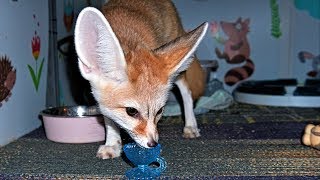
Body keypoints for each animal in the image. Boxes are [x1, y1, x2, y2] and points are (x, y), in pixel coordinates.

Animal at [74, 0, 209, 158]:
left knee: (186, 92)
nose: (153, 144)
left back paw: (190, 125)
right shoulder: (100, 98)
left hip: (178, 73)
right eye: (131, 111)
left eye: (160, 111)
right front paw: (112, 143)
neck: (127, 40)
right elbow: (109, 120)